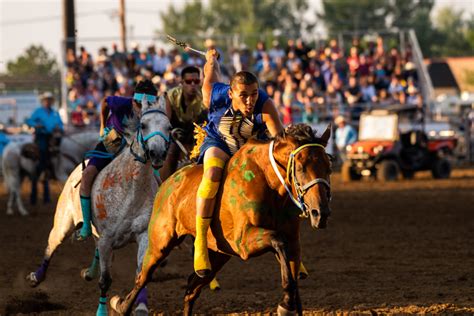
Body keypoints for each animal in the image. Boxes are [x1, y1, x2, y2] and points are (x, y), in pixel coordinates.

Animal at [111, 124, 334, 316]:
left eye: (328, 167)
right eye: (301, 167)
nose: (320, 212)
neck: (268, 184)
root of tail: (169, 181)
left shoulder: (293, 243)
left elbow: (291, 273)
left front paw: (290, 303)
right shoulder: (243, 243)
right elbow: (278, 242)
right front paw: (286, 305)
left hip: (216, 254)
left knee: (192, 287)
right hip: (160, 243)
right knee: (143, 277)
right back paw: (120, 306)